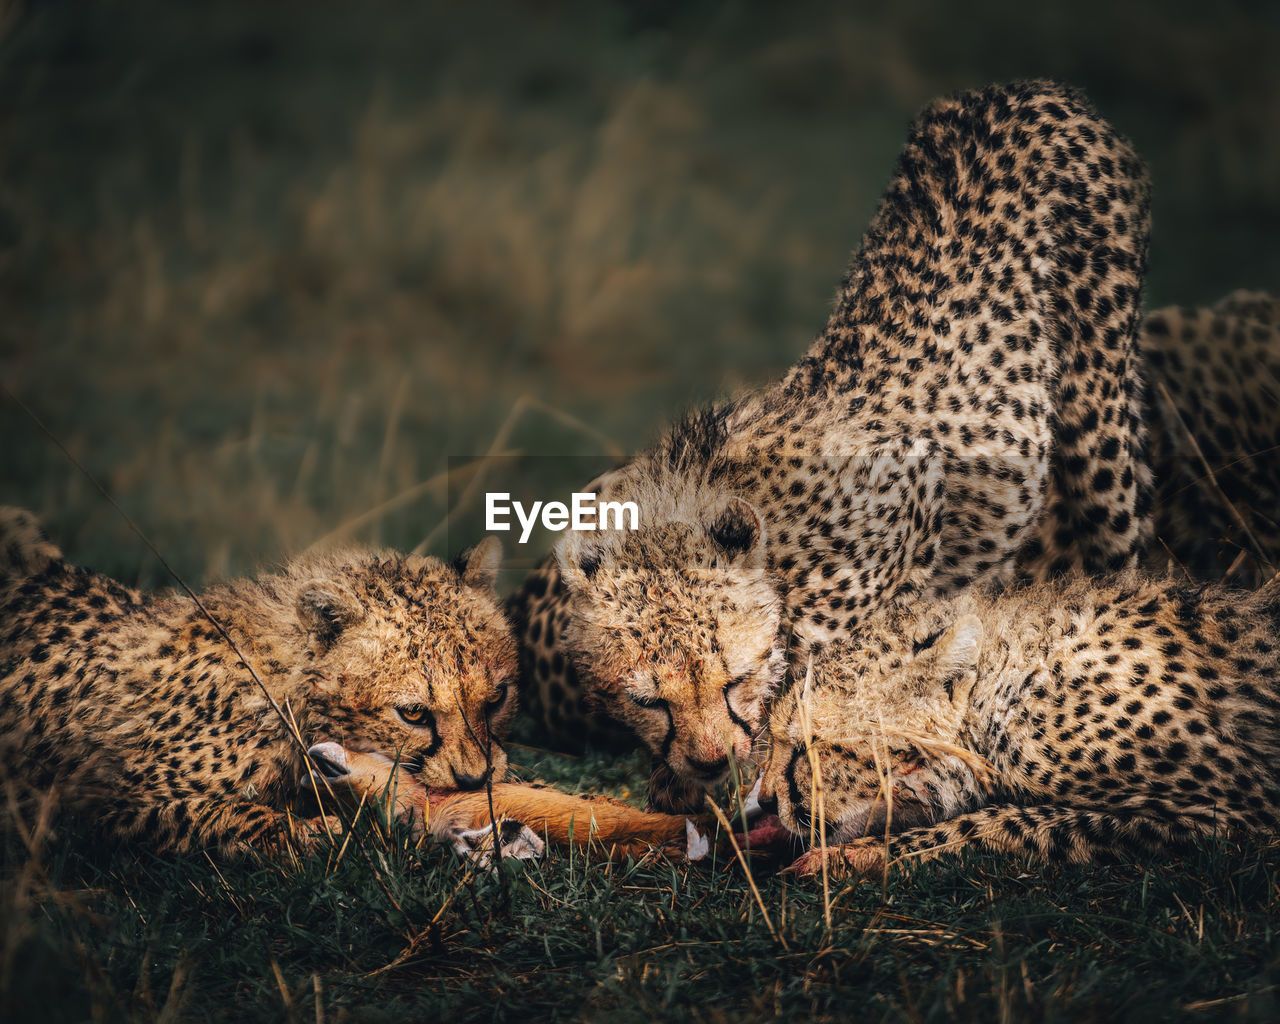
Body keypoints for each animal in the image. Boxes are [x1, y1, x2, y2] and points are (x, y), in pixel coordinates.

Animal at [2, 509, 519, 855]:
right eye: (413, 713)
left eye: (497, 699)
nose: (475, 778)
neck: (285, 683)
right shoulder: (95, 799)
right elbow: (215, 812)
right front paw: (314, 831)